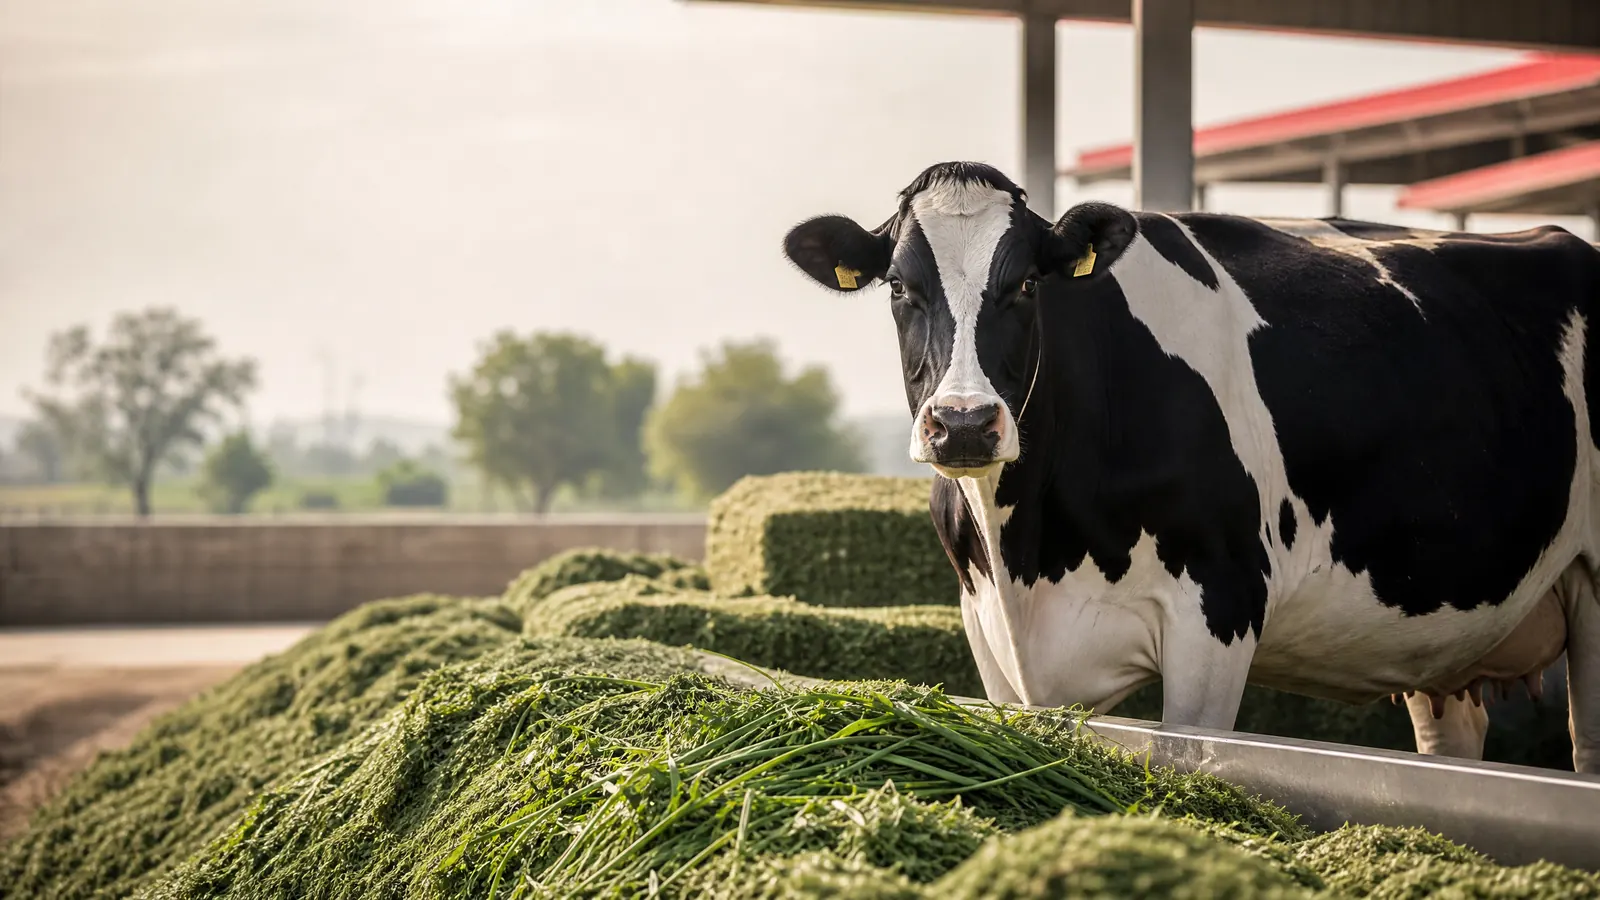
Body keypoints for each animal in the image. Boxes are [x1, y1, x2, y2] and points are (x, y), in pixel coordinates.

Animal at [782, 161, 1600, 773]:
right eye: (899, 286)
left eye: (1026, 284)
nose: (962, 424)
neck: (1030, 556)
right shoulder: (988, 633)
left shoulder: (1219, 605)